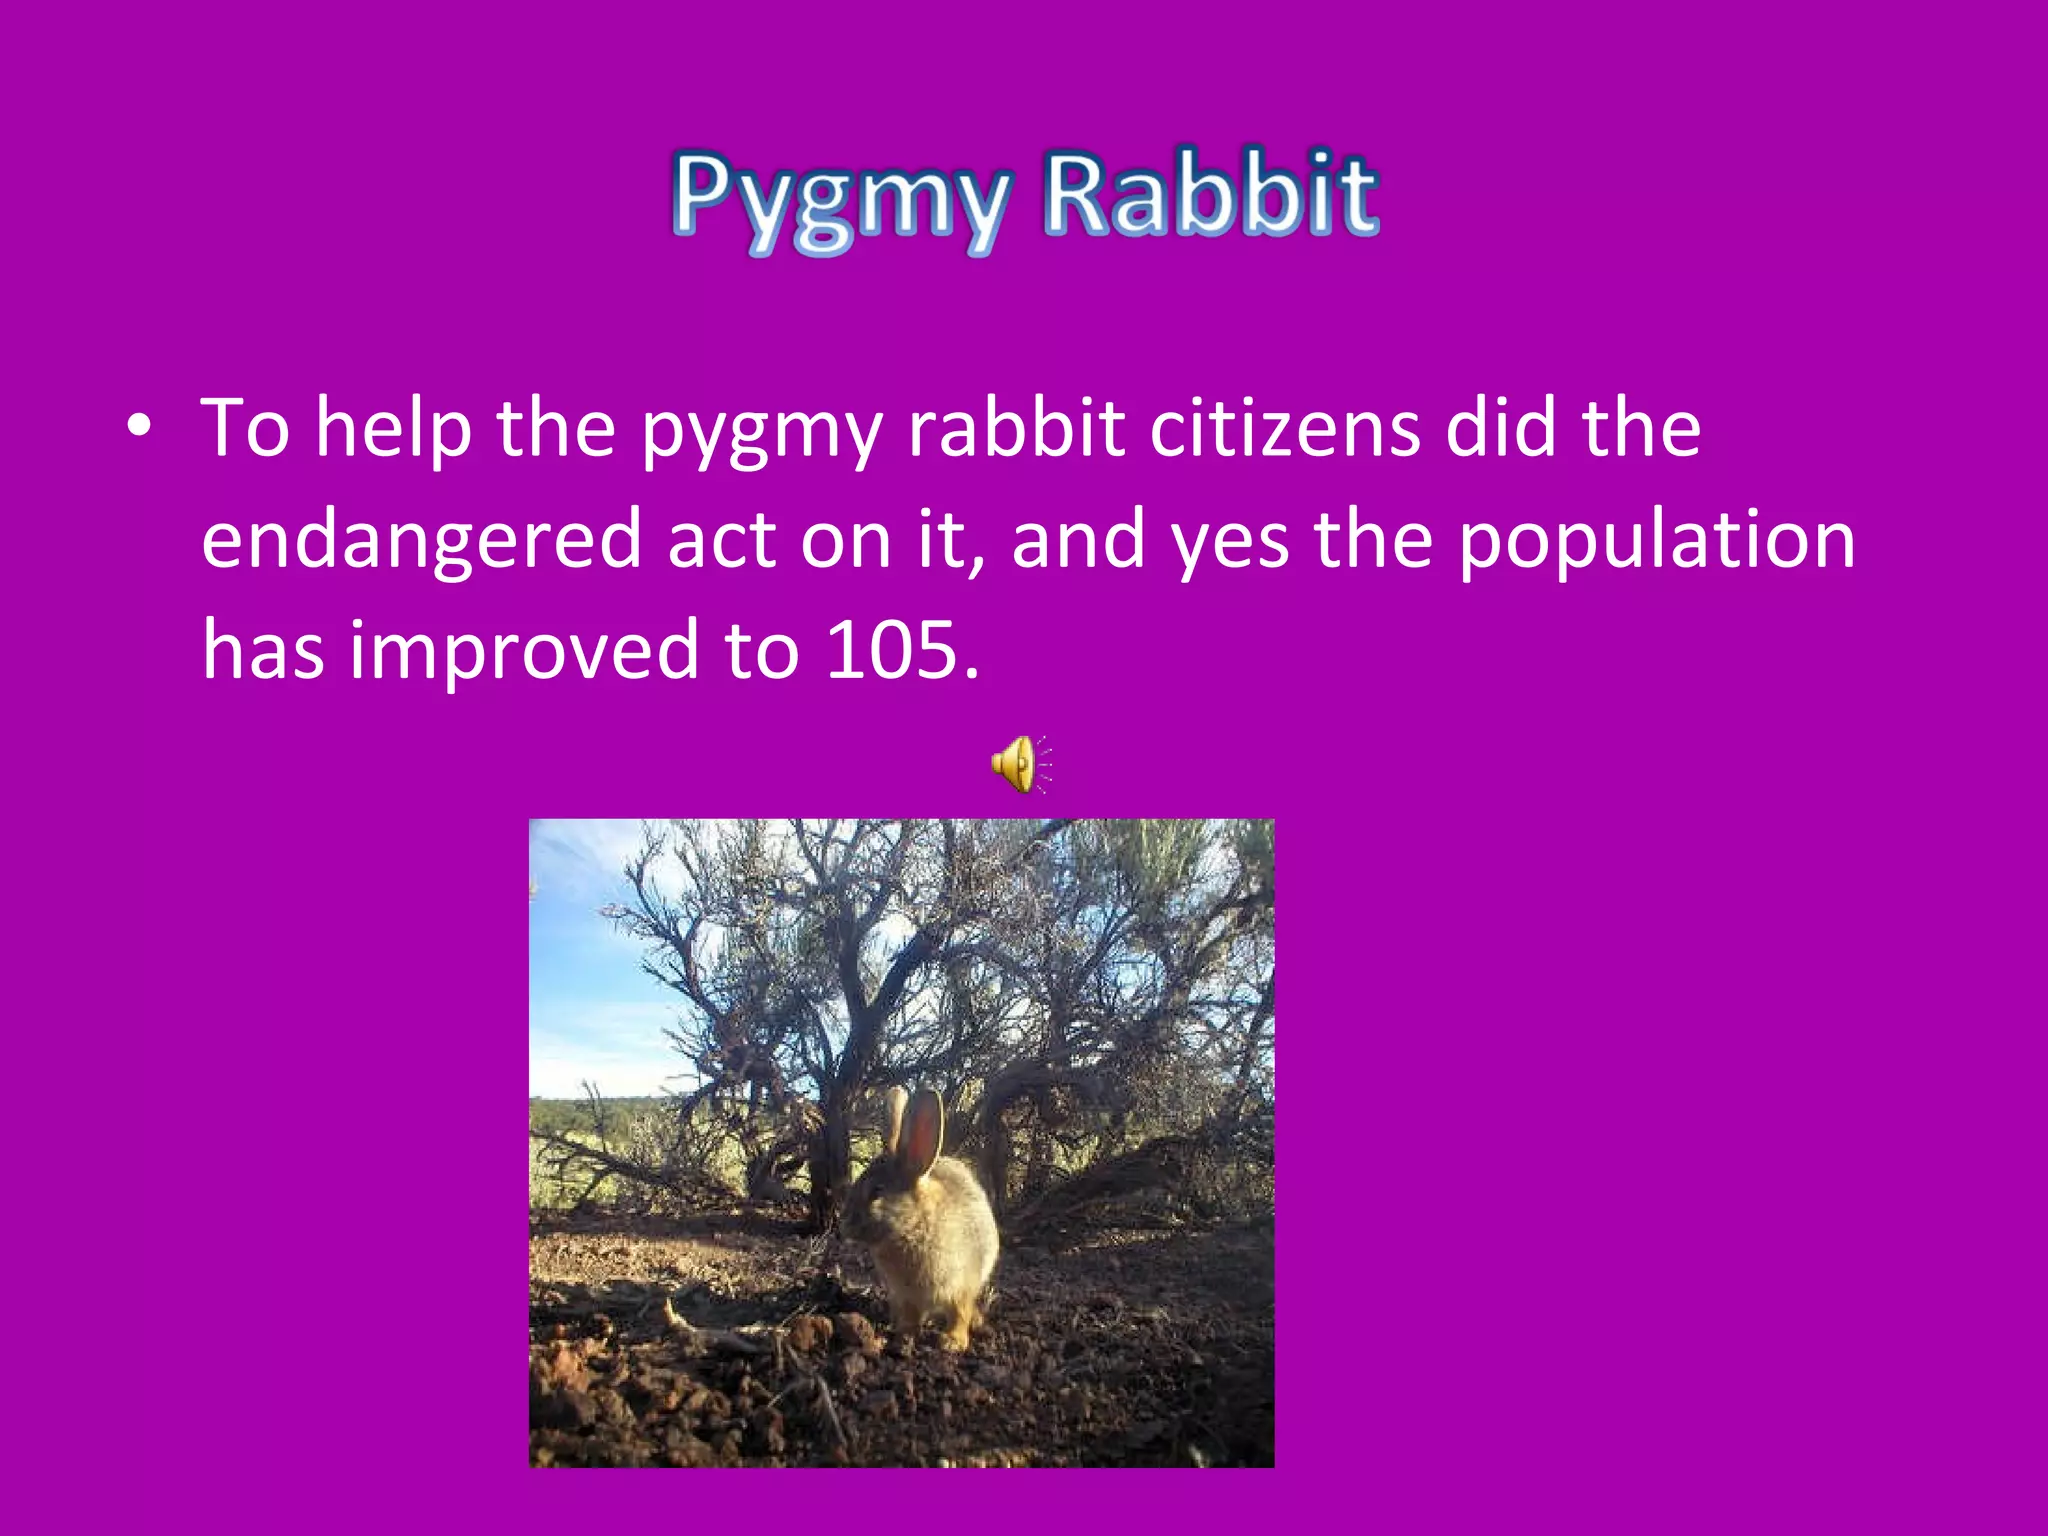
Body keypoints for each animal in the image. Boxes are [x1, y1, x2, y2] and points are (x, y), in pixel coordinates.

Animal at [844, 1085, 1000, 1352]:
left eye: (877, 1192)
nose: (844, 1224)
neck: (914, 1227)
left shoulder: (962, 1286)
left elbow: (960, 1313)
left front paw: (952, 1342)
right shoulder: (907, 1296)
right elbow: (911, 1316)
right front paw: (904, 1336)